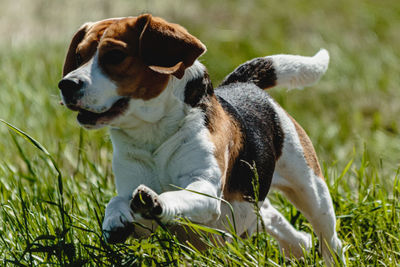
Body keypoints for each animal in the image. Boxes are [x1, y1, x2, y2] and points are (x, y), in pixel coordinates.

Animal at [57, 14, 346, 266]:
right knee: (273, 218)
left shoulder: (205, 190)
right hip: (250, 206)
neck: (152, 133)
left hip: (312, 191)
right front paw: (115, 220)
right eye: (79, 56)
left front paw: (157, 202)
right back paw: (298, 246)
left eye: (115, 56)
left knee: (330, 239)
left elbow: (176, 195)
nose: (66, 84)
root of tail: (242, 83)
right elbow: (117, 201)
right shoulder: (137, 209)